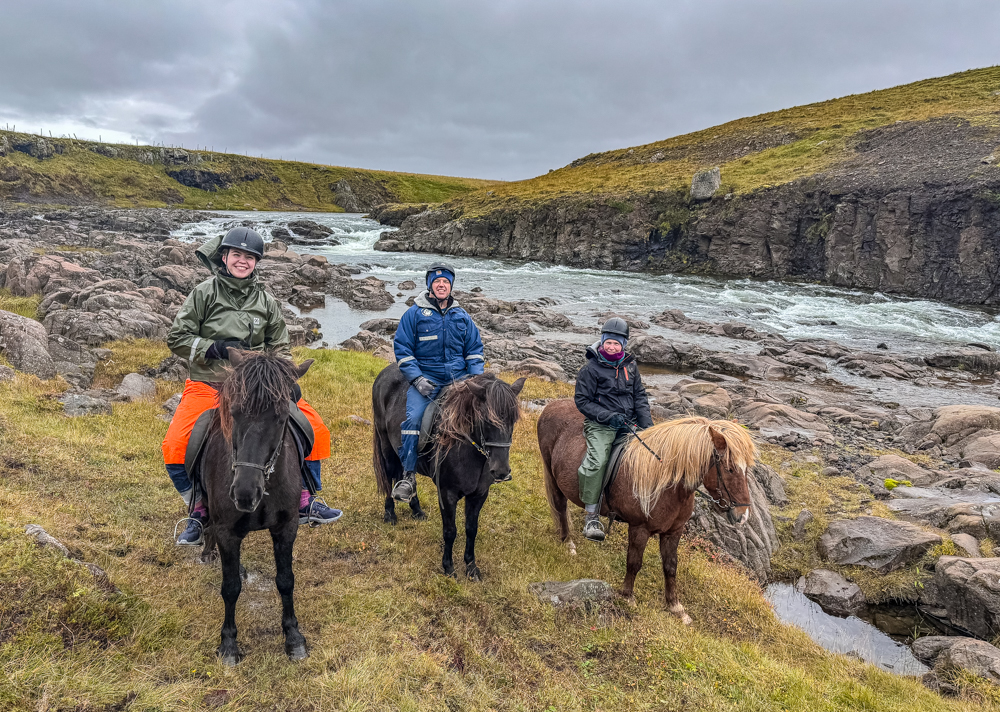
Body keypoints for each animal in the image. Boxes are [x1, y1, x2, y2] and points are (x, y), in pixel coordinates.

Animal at [197, 348, 314, 664]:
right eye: (235, 412)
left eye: (281, 416)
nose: (245, 494)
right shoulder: (227, 533)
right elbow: (230, 588)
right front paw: (228, 644)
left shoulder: (287, 528)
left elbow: (286, 580)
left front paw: (294, 637)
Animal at [374, 364, 528, 580]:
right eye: (486, 419)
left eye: (513, 420)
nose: (501, 471)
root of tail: (385, 371)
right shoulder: (446, 494)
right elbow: (450, 530)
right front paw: (448, 567)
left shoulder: (479, 494)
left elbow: (471, 529)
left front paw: (471, 567)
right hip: (386, 447)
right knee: (389, 478)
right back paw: (390, 515)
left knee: (407, 473)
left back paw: (416, 510)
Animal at [540, 400, 756, 624]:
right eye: (730, 468)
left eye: (747, 469)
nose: (743, 515)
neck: (667, 484)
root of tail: (552, 405)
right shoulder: (639, 529)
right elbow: (634, 562)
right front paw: (627, 596)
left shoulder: (674, 532)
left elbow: (670, 566)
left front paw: (675, 606)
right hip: (553, 479)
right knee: (560, 508)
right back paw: (568, 543)